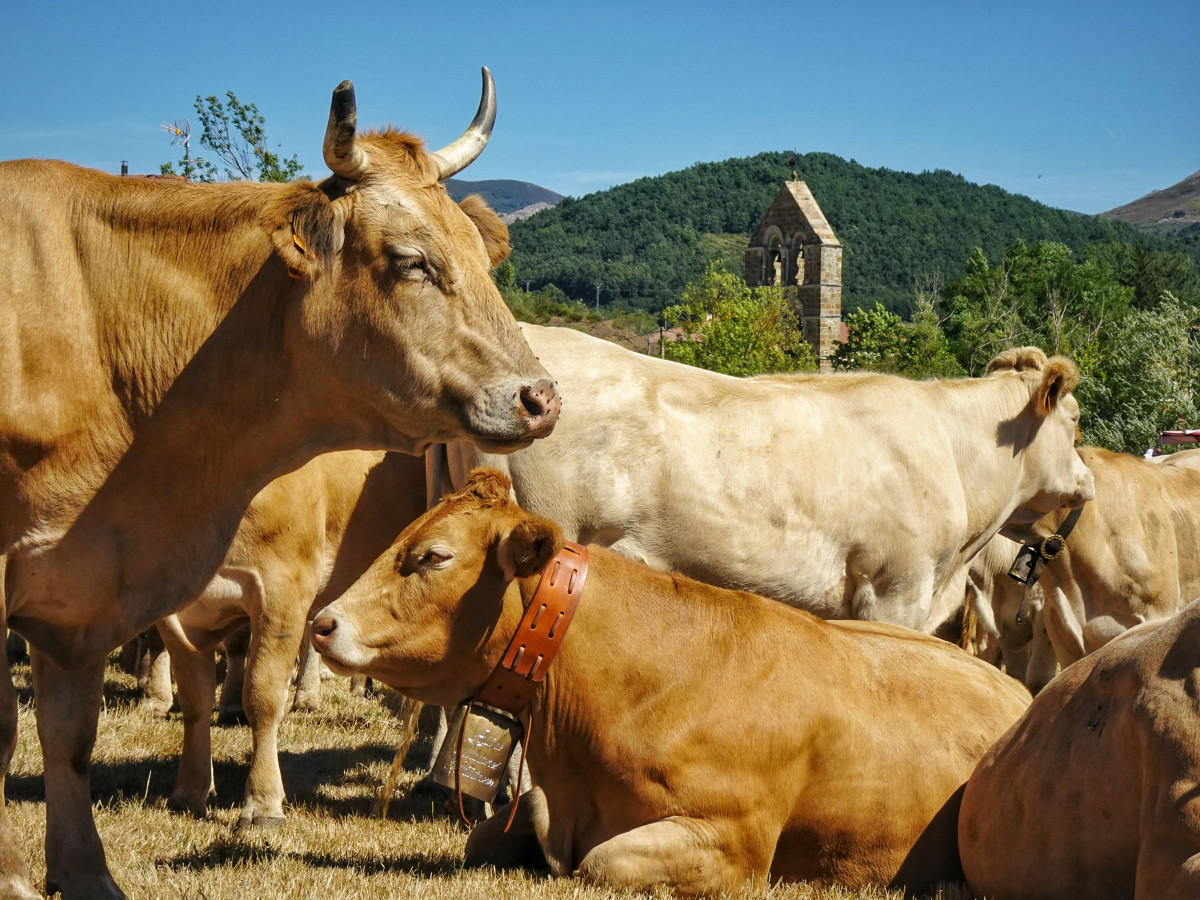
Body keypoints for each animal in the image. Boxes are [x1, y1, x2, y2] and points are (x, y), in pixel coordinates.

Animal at [0, 66, 554, 897]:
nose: (541, 397)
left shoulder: (242, 583)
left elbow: (214, 702)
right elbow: (159, 702)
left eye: (481, 262)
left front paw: (249, 808)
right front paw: (183, 797)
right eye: (411, 260)